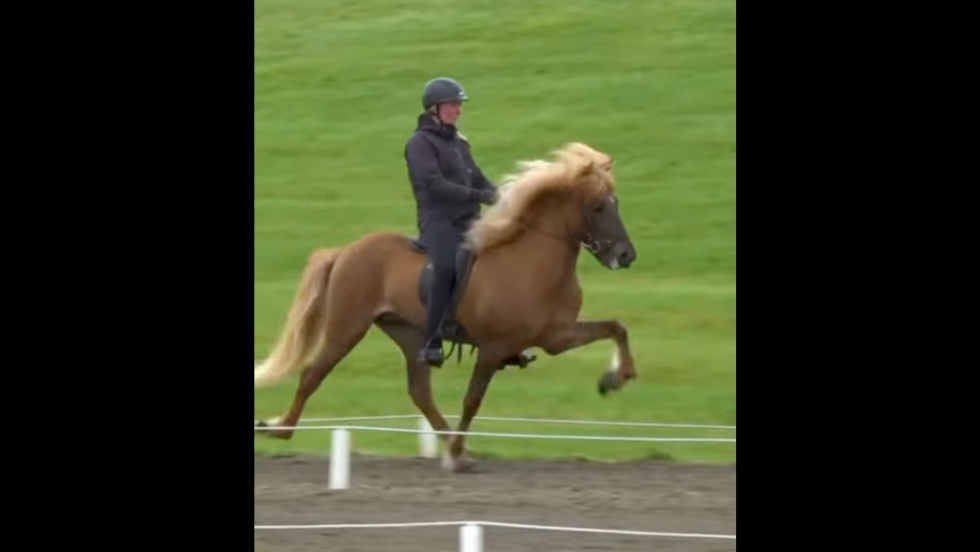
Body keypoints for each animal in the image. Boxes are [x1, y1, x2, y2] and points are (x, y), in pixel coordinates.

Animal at [253, 141, 640, 470]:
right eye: (598, 207)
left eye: (617, 203)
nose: (626, 256)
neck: (532, 262)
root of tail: (346, 251)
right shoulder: (494, 348)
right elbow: (472, 400)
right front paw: (458, 451)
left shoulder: (557, 336)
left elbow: (616, 327)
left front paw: (614, 379)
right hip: (347, 328)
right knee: (312, 375)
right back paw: (280, 429)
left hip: (410, 335)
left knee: (419, 392)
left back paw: (454, 449)